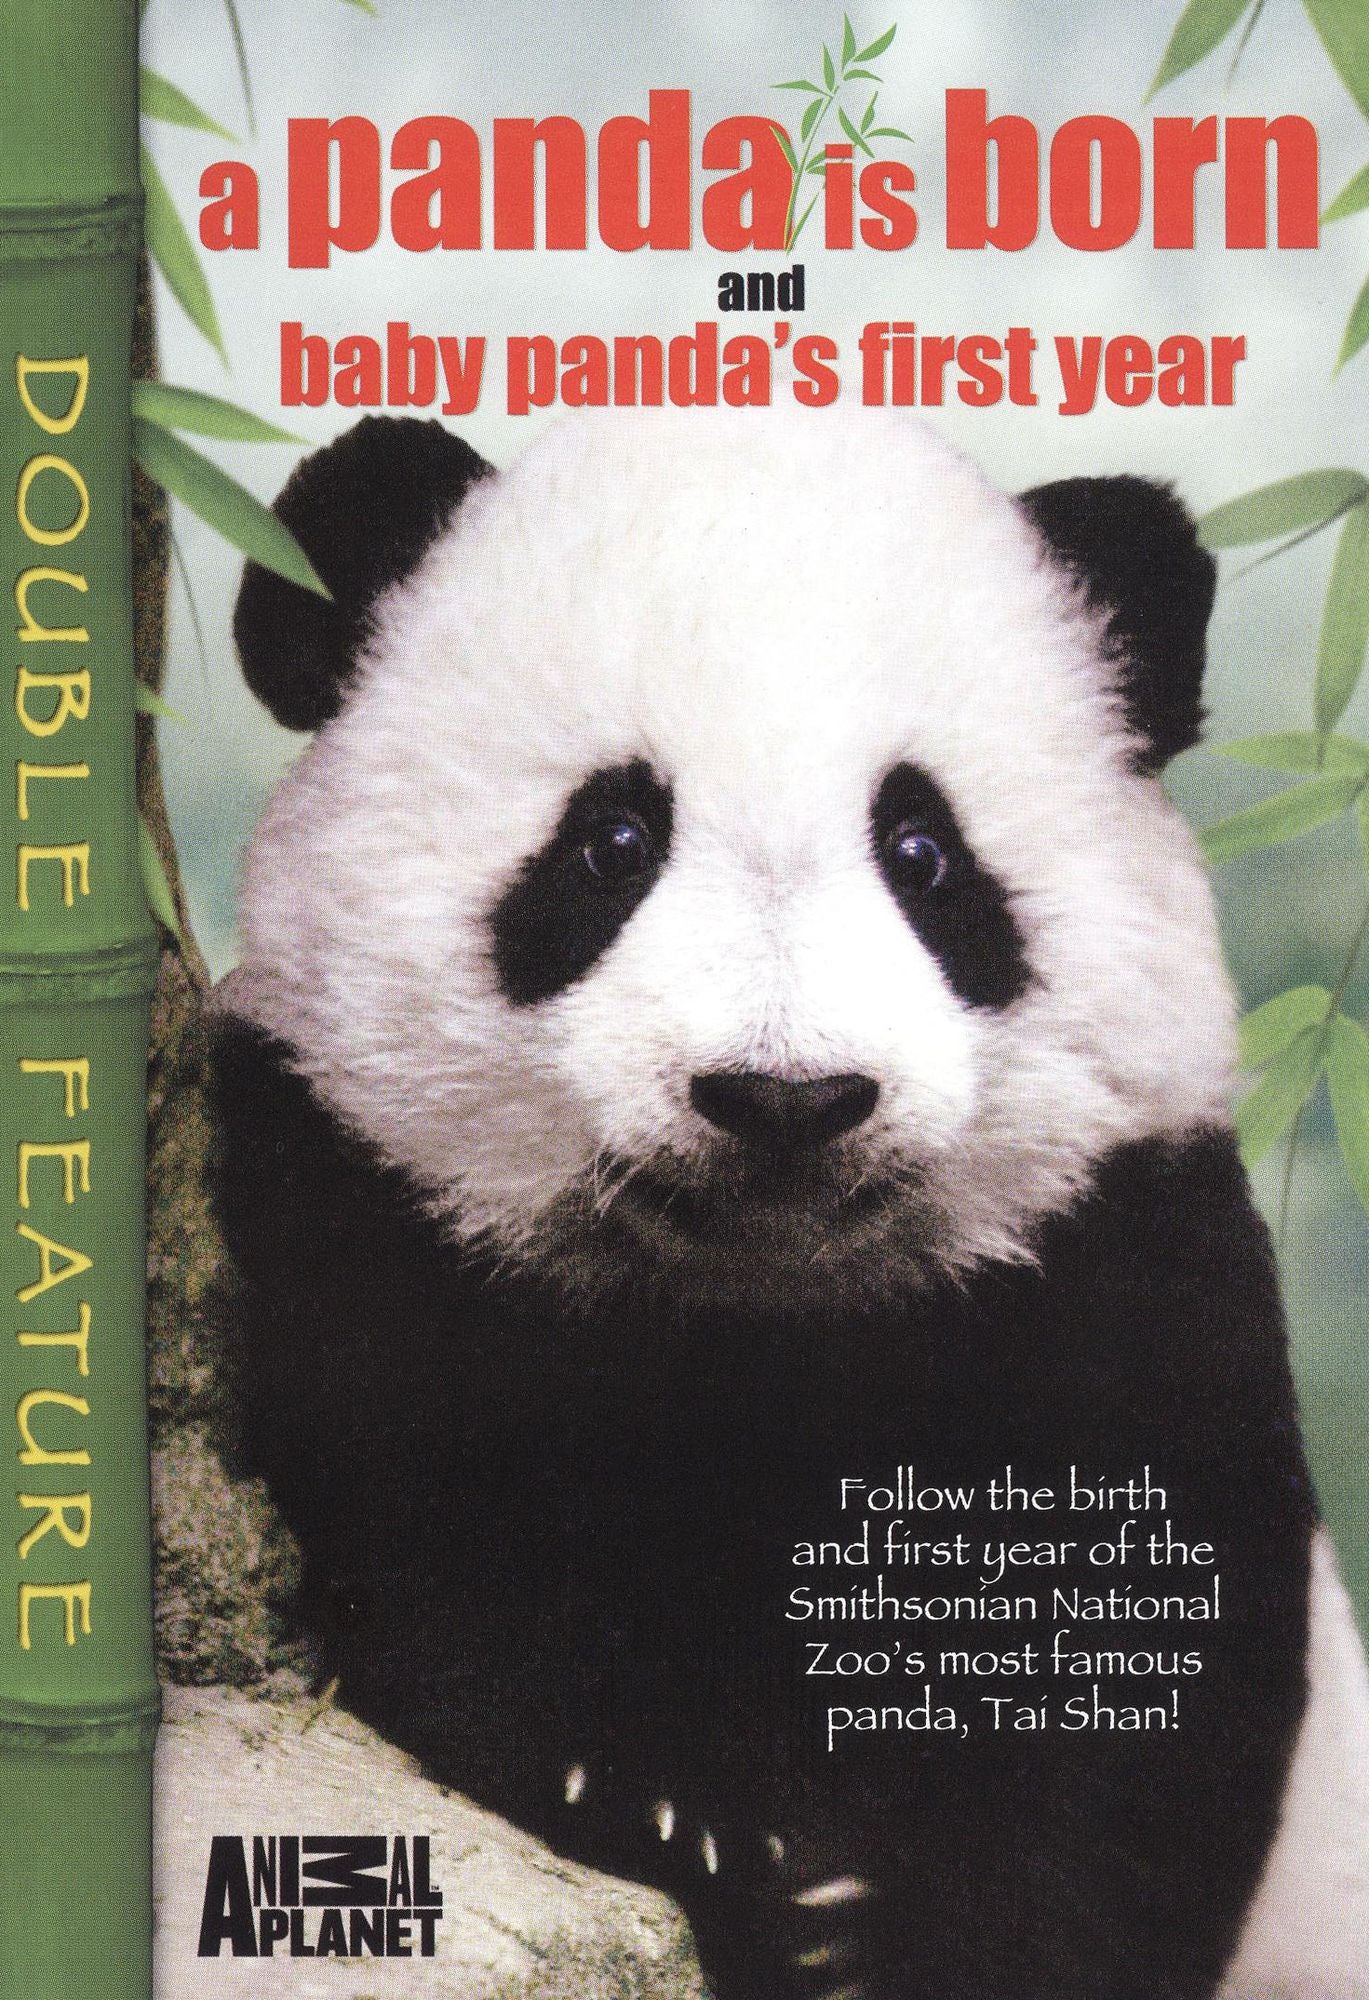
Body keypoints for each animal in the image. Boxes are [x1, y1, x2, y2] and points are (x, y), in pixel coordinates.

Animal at [211, 407, 1369, 2000]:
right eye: (611, 840)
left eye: (923, 851)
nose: (784, 1097)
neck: (756, 1304)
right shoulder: (349, 1185)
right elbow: (429, 1527)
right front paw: (674, 1813)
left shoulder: (1123, 1247)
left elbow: (1146, 1704)